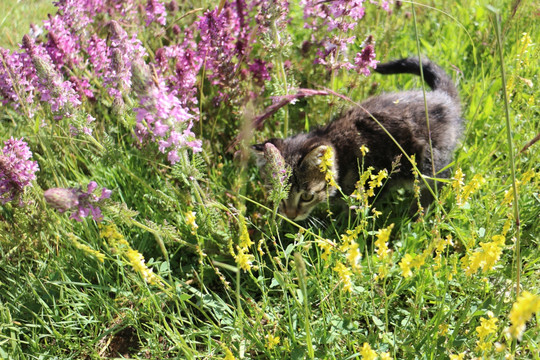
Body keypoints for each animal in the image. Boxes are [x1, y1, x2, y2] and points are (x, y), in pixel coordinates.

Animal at [252, 57, 460, 221]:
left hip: (425, 162)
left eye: (306, 197)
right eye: (277, 193)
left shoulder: (375, 181)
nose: (290, 215)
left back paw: (418, 214)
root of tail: (443, 98)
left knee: (439, 181)